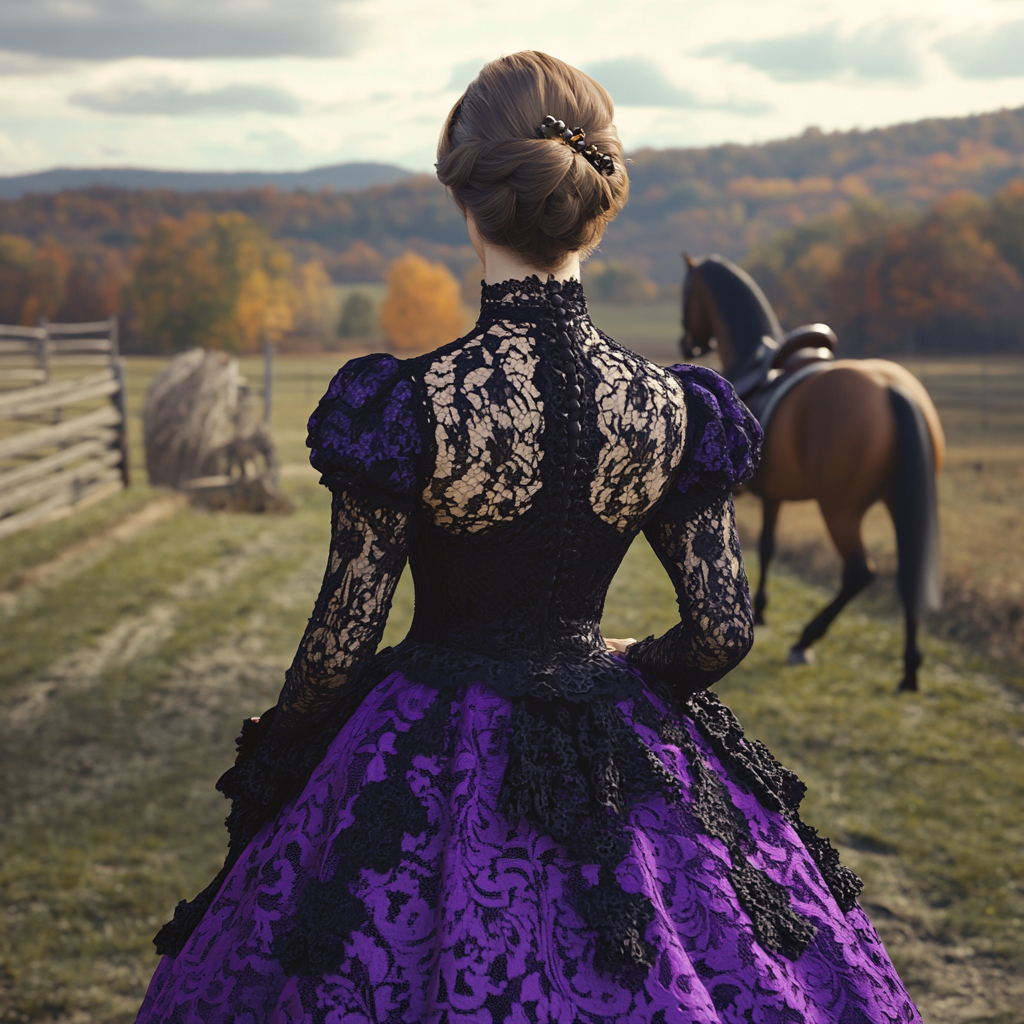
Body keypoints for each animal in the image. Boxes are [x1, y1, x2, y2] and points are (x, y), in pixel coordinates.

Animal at [679, 251, 942, 692]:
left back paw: (805, 639)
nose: (687, 343)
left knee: (858, 573)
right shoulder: (773, 494)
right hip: (903, 503)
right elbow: (769, 546)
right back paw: (909, 668)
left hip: (840, 510)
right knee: (908, 576)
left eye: (686, 293)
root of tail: (891, 388)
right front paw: (761, 608)